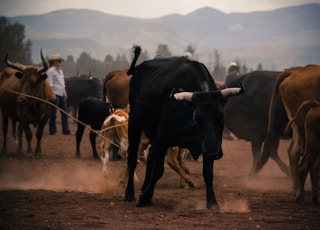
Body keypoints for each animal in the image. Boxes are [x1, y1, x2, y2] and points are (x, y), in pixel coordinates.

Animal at [125, 45, 245, 209]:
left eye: (221, 118)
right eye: (196, 119)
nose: (213, 152)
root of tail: (138, 68)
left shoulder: (209, 143)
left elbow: (208, 173)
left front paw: (212, 202)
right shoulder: (163, 139)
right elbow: (158, 170)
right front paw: (143, 197)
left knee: (150, 157)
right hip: (134, 121)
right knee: (132, 157)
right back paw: (130, 194)